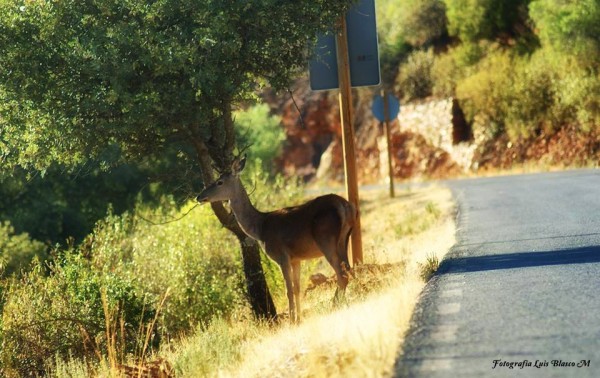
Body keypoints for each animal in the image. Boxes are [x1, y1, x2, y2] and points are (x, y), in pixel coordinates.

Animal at [197, 155, 356, 324]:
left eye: (219, 182)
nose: (199, 196)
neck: (260, 229)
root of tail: (344, 205)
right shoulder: (296, 259)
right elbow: (297, 288)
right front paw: (299, 319)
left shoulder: (282, 256)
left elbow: (289, 290)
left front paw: (292, 322)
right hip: (344, 238)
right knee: (349, 268)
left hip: (326, 239)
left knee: (342, 274)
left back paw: (335, 304)